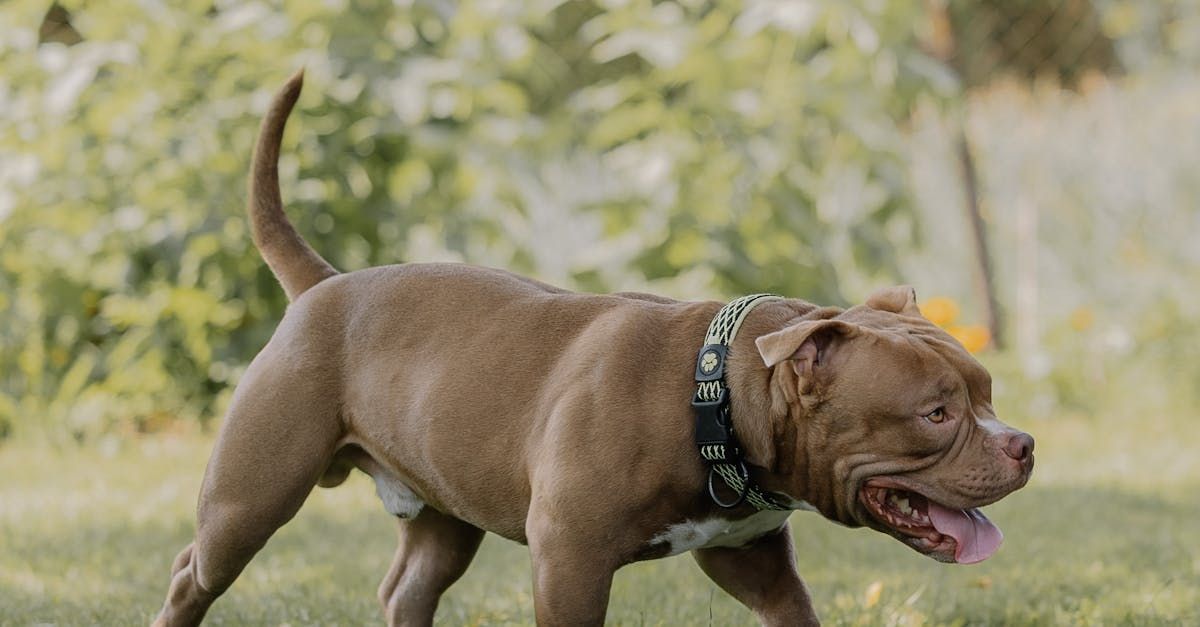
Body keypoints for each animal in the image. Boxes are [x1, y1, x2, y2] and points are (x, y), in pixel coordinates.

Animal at [152, 73, 1032, 624]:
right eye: (936, 412)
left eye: (988, 393)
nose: (1023, 443)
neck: (712, 392)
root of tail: (325, 284)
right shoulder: (569, 561)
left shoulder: (753, 561)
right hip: (249, 498)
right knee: (194, 572)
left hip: (444, 513)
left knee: (408, 587)